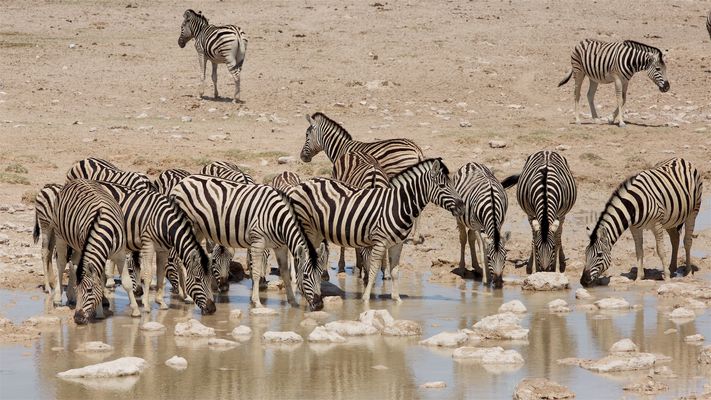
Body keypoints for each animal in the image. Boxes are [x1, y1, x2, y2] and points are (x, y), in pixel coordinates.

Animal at [50, 179, 138, 324]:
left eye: (89, 290)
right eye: (78, 290)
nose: (78, 318)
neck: (103, 229)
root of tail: (75, 180)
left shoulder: (120, 254)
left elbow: (126, 283)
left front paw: (136, 311)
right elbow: (100, 281)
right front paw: (100, 311)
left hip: (77, 245)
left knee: (73, 263)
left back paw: (70, 296)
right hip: (60, 235)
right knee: (61, 264)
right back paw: (58, 298)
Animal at [97, 182, 216, 315]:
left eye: (210, 279)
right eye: (198, 280)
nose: (212, 309)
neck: (166, 223)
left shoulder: (163, 249)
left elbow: (160, 274)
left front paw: (161, 302)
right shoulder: (148, 244)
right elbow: (148, 275)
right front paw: (146, 305)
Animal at [171, 175, 325, 311]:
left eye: (320, 274)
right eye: (306, 276)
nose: (319, 306)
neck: (279, 220)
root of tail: (181, 182)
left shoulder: (280, 246)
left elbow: (285, 273)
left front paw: (293, 302)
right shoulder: (258, 241)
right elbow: (255, 272)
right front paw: (257, 302)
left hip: (199, 230)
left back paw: (185, 295)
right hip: (188, 225)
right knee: (179, 259)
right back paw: (186, 296)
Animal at [581, 158, 702, 286]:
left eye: (599, 255)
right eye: (585, 253)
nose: (582, 280)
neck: (633, 206)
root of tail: (680, 159)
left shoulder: (657, 225)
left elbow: (660, 250)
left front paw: (667, 277)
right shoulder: (634, 228)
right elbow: (639, 251)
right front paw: (639, 278)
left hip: (693, 211)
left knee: (687, 241)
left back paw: (688, 271)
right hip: (671, 218)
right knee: (675, 238)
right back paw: (672, 268)